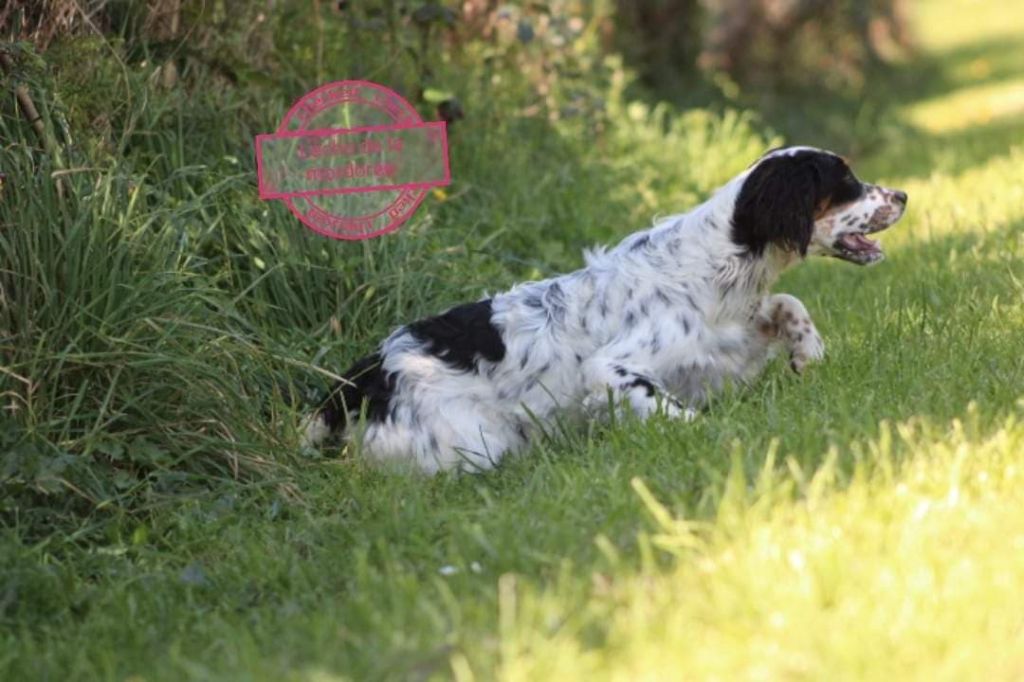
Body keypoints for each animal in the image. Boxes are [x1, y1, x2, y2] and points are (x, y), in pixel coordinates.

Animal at [299, 146, 909, 471]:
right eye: (847, 180)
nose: (903, 195)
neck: (719, 266)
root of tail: (355, 382)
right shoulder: (612, 369)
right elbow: (671, 408)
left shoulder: (731, 335)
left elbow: (788, 302)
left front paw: (810, 355)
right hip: (473, 442)